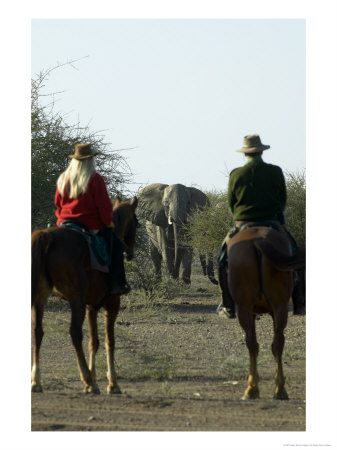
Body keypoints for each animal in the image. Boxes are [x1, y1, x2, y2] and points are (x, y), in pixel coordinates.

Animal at [30, 197, 137, 394]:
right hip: (76, 300)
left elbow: (93, 342)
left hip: (41, 297)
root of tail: (47, 236)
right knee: (74, 333)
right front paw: (112, 384)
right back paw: (87, 380)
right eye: (137, 222)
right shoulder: (112, 304)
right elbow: (109, 341)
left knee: (37, 331)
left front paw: (96, 377)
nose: (129, 253)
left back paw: (36, 381)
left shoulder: (91, 307)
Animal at [227, 227, 304, 400]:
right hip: (278, 306)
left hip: (250, 307)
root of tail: (257, 238)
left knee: (258, 343)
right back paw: (275, 389)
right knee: (274, 342)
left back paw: (257, 388)